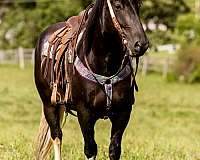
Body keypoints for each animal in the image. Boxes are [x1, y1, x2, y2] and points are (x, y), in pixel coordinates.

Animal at [34, 0, 148, 159]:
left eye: (139, 5)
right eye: (118, 6)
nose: (141, 44)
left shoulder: (123, 112)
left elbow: (114, 149)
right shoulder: (84, 113)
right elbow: (90, 149)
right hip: (49, 105)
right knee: (56, 136)